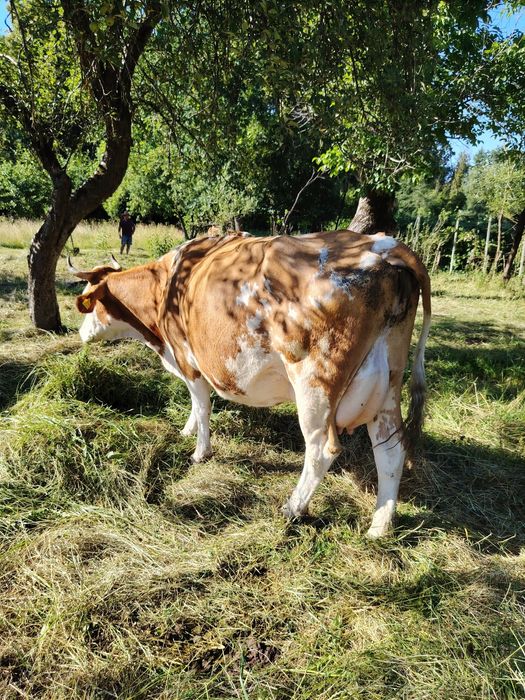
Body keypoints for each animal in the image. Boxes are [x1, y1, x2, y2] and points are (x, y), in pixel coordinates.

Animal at [69, 229, 431, 538]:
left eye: (89, 303)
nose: (80, 334)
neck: (166, 287)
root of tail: (384, 245)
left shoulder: (188, 358)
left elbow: (202, 404)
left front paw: (200, 451)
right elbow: (196, 405)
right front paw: (186, 430)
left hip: (315, 382)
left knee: (321, 449)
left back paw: (292, 508)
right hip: (387, 386)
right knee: (390, 451)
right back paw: (379, 528)